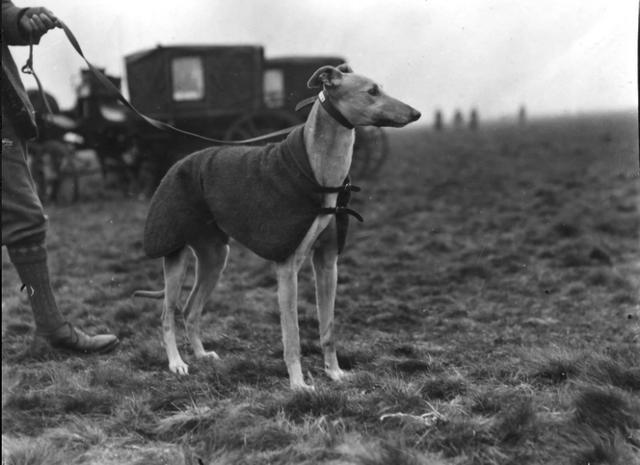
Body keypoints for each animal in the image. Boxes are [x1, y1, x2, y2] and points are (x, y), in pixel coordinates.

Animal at [135, 63, 420, 390]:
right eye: (372, 91)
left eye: (380, 88)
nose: (416, 113)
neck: (320, 172)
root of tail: (177, 164)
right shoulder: (287, 266)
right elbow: (292, 334)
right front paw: (298, 384)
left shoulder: (327, 263)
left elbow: (328, 327)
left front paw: (334, 372)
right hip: (176, 253)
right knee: (167, 313)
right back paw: (177, 363)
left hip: (216, 257)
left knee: (190, 308)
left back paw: (201, 354)